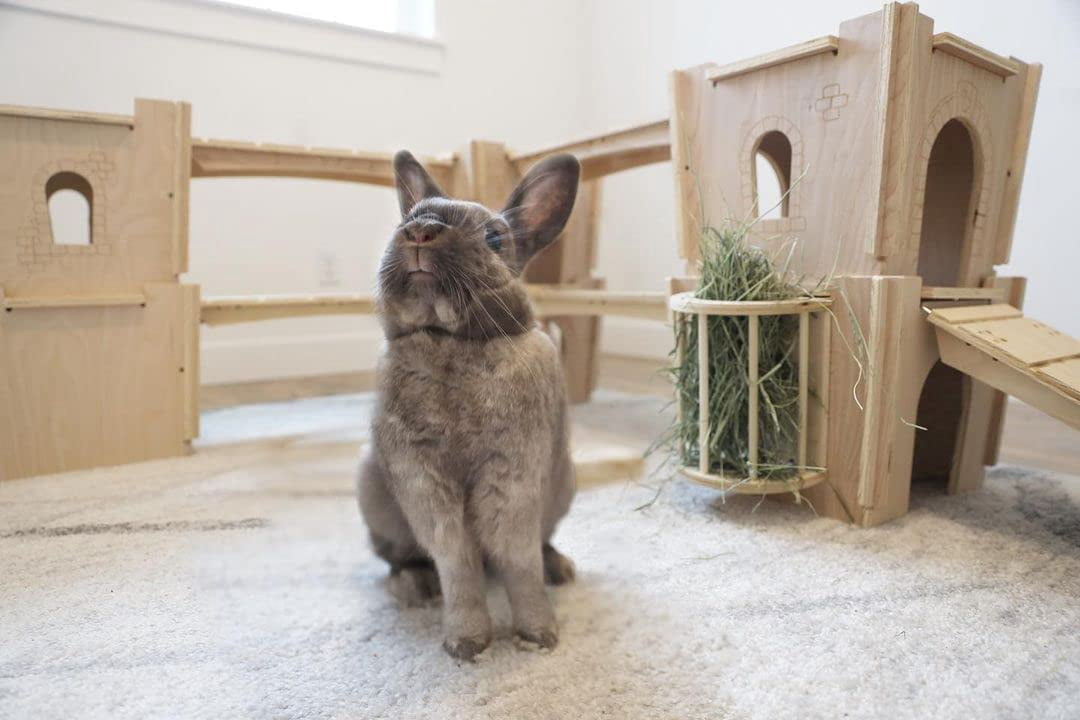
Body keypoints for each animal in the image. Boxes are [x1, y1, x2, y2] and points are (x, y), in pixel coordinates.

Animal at [357, 150, 580, 661]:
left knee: (540, 545)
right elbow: (456, 563)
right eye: (409, 219)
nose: (421, 231)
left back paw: (560, 569)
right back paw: (412, 587)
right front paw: (466, 643)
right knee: (400, 558)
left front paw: (540, 635)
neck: (451, 341)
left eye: (494, 237)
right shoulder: (424, 480)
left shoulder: (513, 475)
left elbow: (518, 560)